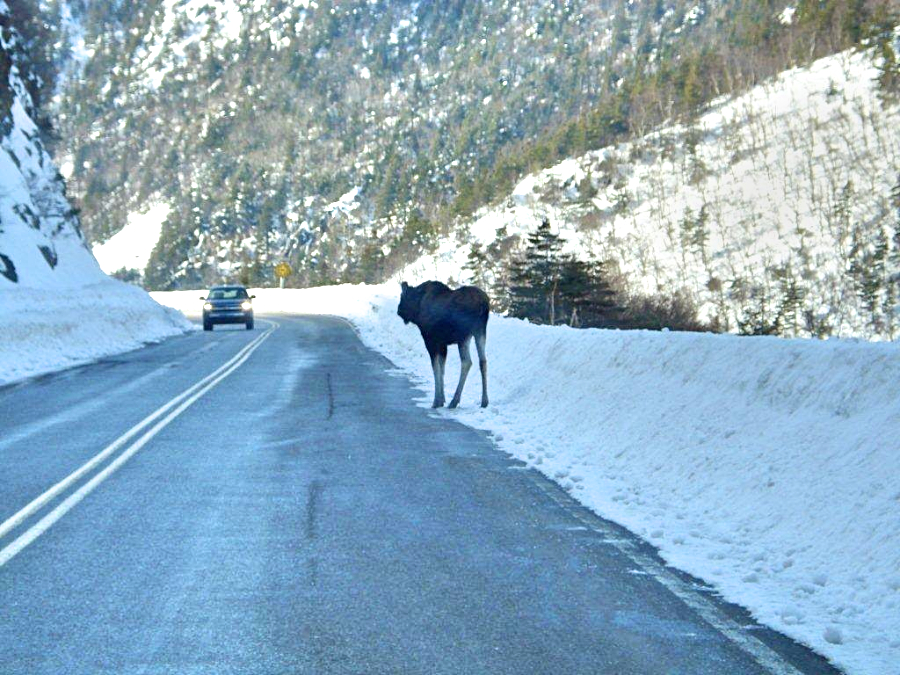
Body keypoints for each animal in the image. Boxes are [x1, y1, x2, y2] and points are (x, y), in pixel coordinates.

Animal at [398, 278, 488, 410]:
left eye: (402, 297)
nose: (399, 310)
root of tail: (484, 304)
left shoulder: (431, 340)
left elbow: (436, 369)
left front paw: (437, 401)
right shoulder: (443, 344)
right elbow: (442, 368)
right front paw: (442, 398)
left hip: (463, 336)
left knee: (467, 362)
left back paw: (454, 401)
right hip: (480, 332)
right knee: (483, 361)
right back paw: (484, 401)